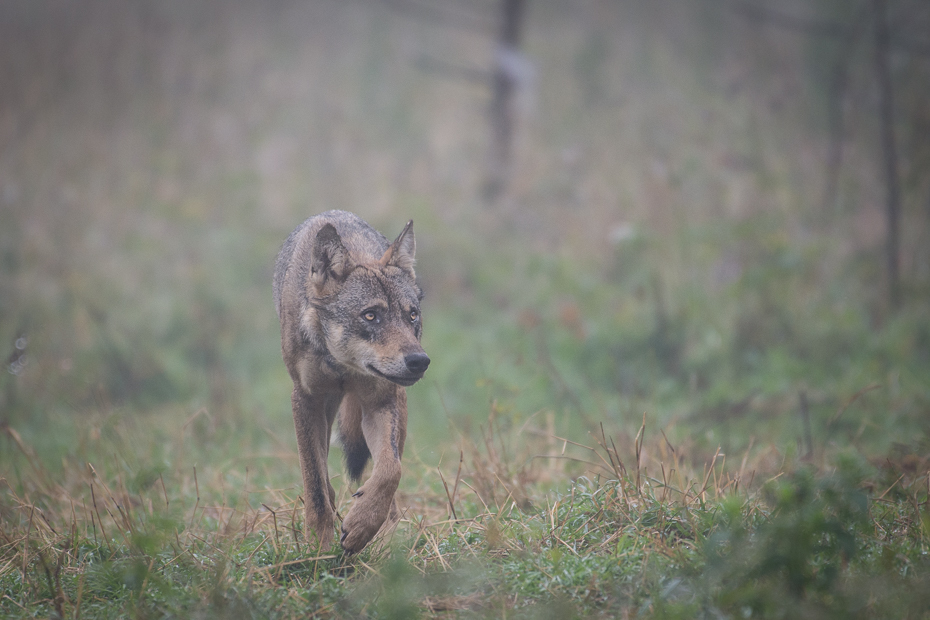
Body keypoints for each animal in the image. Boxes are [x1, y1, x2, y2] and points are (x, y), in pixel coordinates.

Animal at [270, 211, 426, 556]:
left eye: (411, 316)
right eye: (370, 316)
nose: (419, 361)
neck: (344, 366)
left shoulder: (380, 401)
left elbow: (390, 471)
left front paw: (361, 527)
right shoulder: (305, 400)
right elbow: (314, 482)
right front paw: (319, 547)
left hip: (398, 407)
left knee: (391, 492)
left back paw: (386, 545)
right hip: (326, 410)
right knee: (322, 474)